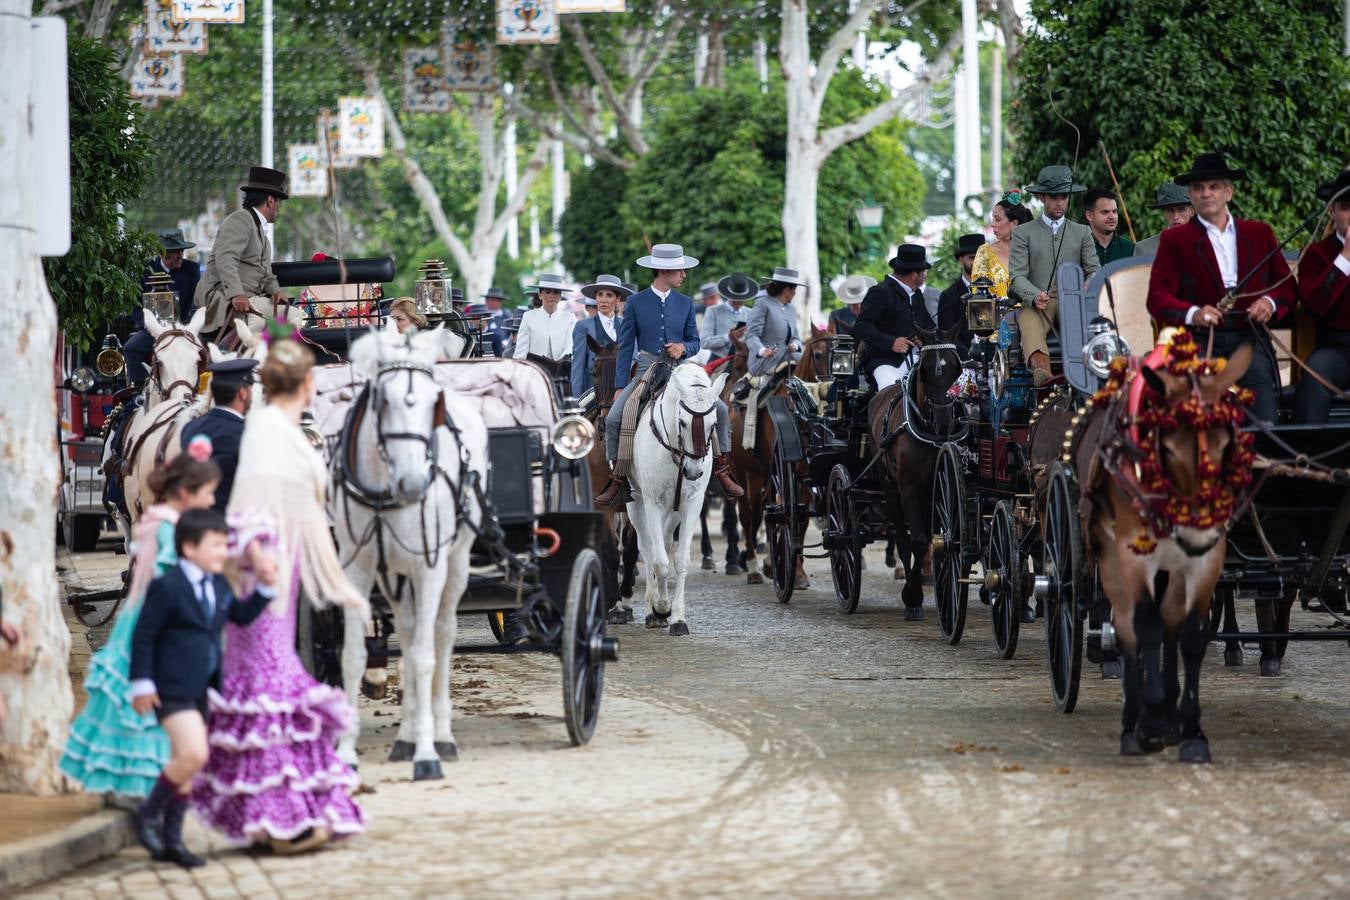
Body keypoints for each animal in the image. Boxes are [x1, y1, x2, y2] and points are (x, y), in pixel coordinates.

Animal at [330, 323, 488, 782]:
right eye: (382, 400)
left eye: (434, 403)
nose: (415, 483)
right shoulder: (356, 570)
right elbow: (353, 656)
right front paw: (346, 754)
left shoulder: (429, 568)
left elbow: (424, 657)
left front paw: (428, 755)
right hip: (394, 577)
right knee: (407, 629)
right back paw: (406, 734)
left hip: (454, 563)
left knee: (441, 634)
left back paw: (441, 734)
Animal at [618, 361, 729, 636]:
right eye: (683, 422)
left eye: (713, 423)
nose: (693, 471)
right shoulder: (653, 503)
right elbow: (659, 561)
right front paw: (660, 607)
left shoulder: (692, 504)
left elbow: (679, 561)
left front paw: (677, 617)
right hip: (636, 503)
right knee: (647, 548)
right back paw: (647, 608)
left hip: (674, 510)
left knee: (664, 542)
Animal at [864, 329, 972, 620]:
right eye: (924, 370)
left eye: (956, 368)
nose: (945, 420)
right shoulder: (908, 488)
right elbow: (919, 540)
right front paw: (912, 597)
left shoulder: (940, 484)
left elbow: (935, 537)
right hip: (890, 487)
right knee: (902, 538)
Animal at [1074, 337, 1252, 761]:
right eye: (1166, 449)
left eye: (1225, 445)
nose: (1194, 534)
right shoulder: (1133, 554)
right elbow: (1147, 626)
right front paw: (1151, 720)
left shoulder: (1208, 559)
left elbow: (1190, 635)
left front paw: (1189, 730)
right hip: (1110, 557)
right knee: (1127, 625)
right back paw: (1135, 720)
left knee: (1170, 618)